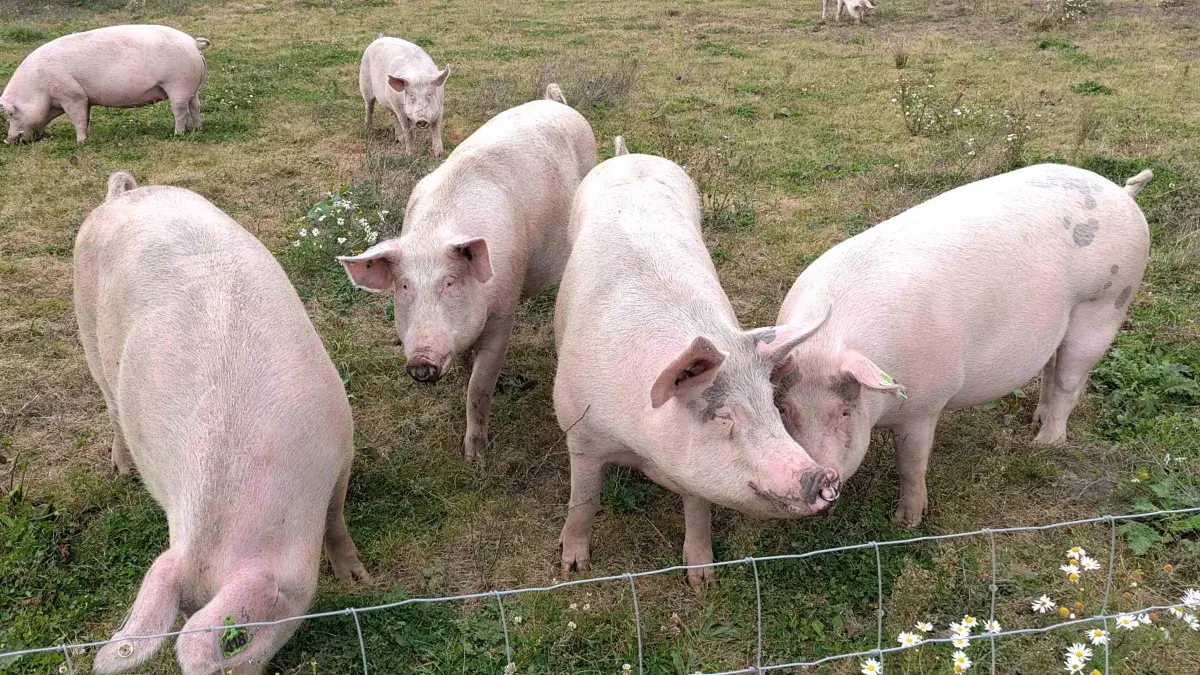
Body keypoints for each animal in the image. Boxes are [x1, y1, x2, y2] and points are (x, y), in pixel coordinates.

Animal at [1, 25, 210, 144]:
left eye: (11, 113)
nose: (7, 140)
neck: (39, 88)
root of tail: (194, 43)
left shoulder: (71, 94)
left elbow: (76, 118)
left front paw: (80, 142)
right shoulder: (85, 98)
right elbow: (86, 117)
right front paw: (87, 137)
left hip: (178, 84)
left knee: (180, 111)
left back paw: (177, 135)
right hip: (192, 87)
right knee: (196, 106)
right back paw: (198, 129)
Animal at [76, 172, 369, 675]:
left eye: (237, 639)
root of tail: (121, 196)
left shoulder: (341, 446)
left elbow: (336, 521)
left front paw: (359, 582)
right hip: (87, 333)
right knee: (111, 407)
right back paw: (122, 470)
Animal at [338, 85, 597, 462]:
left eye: (450, 282)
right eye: (404, 287)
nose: (421, 361)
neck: (436, 232)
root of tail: (557, 104)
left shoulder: (504, 312)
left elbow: (479, 388)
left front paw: (475, 458)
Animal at [553, 151, 841, 586]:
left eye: (773, 406)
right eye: (723, 415)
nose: (824, 476)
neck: (641, 444)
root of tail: (627, 155)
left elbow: (698, 509)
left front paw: (702, 581)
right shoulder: (580, 433)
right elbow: (583, 501)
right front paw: (573, 568)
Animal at [772, 164, 1153, 528]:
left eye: (844, 413)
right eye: (784, 411)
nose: (817, 480)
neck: (824, 343)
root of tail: (1123, 192)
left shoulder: (924, 406)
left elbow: (911, 463)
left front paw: (906, 523)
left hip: (1107, 303)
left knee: (1069, 381)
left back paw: (1044, 443)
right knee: (1051, 365)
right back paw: (1036, 421)